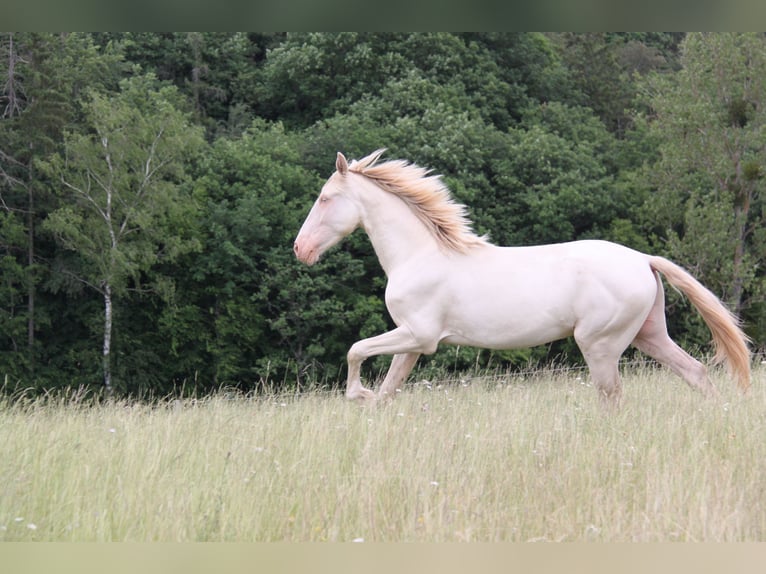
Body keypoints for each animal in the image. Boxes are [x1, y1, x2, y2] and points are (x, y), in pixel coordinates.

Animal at [293, 149, 751, 407]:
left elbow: (355, 351)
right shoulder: (413, 342)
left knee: (613, 397)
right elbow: (389, 390)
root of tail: (642, 260)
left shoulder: (418, 335)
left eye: (325, 198)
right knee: (696, 373)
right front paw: (372, 407)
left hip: (600, 345)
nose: (301, 249)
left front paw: (357, 395)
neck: (419, 255)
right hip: (648, 335)